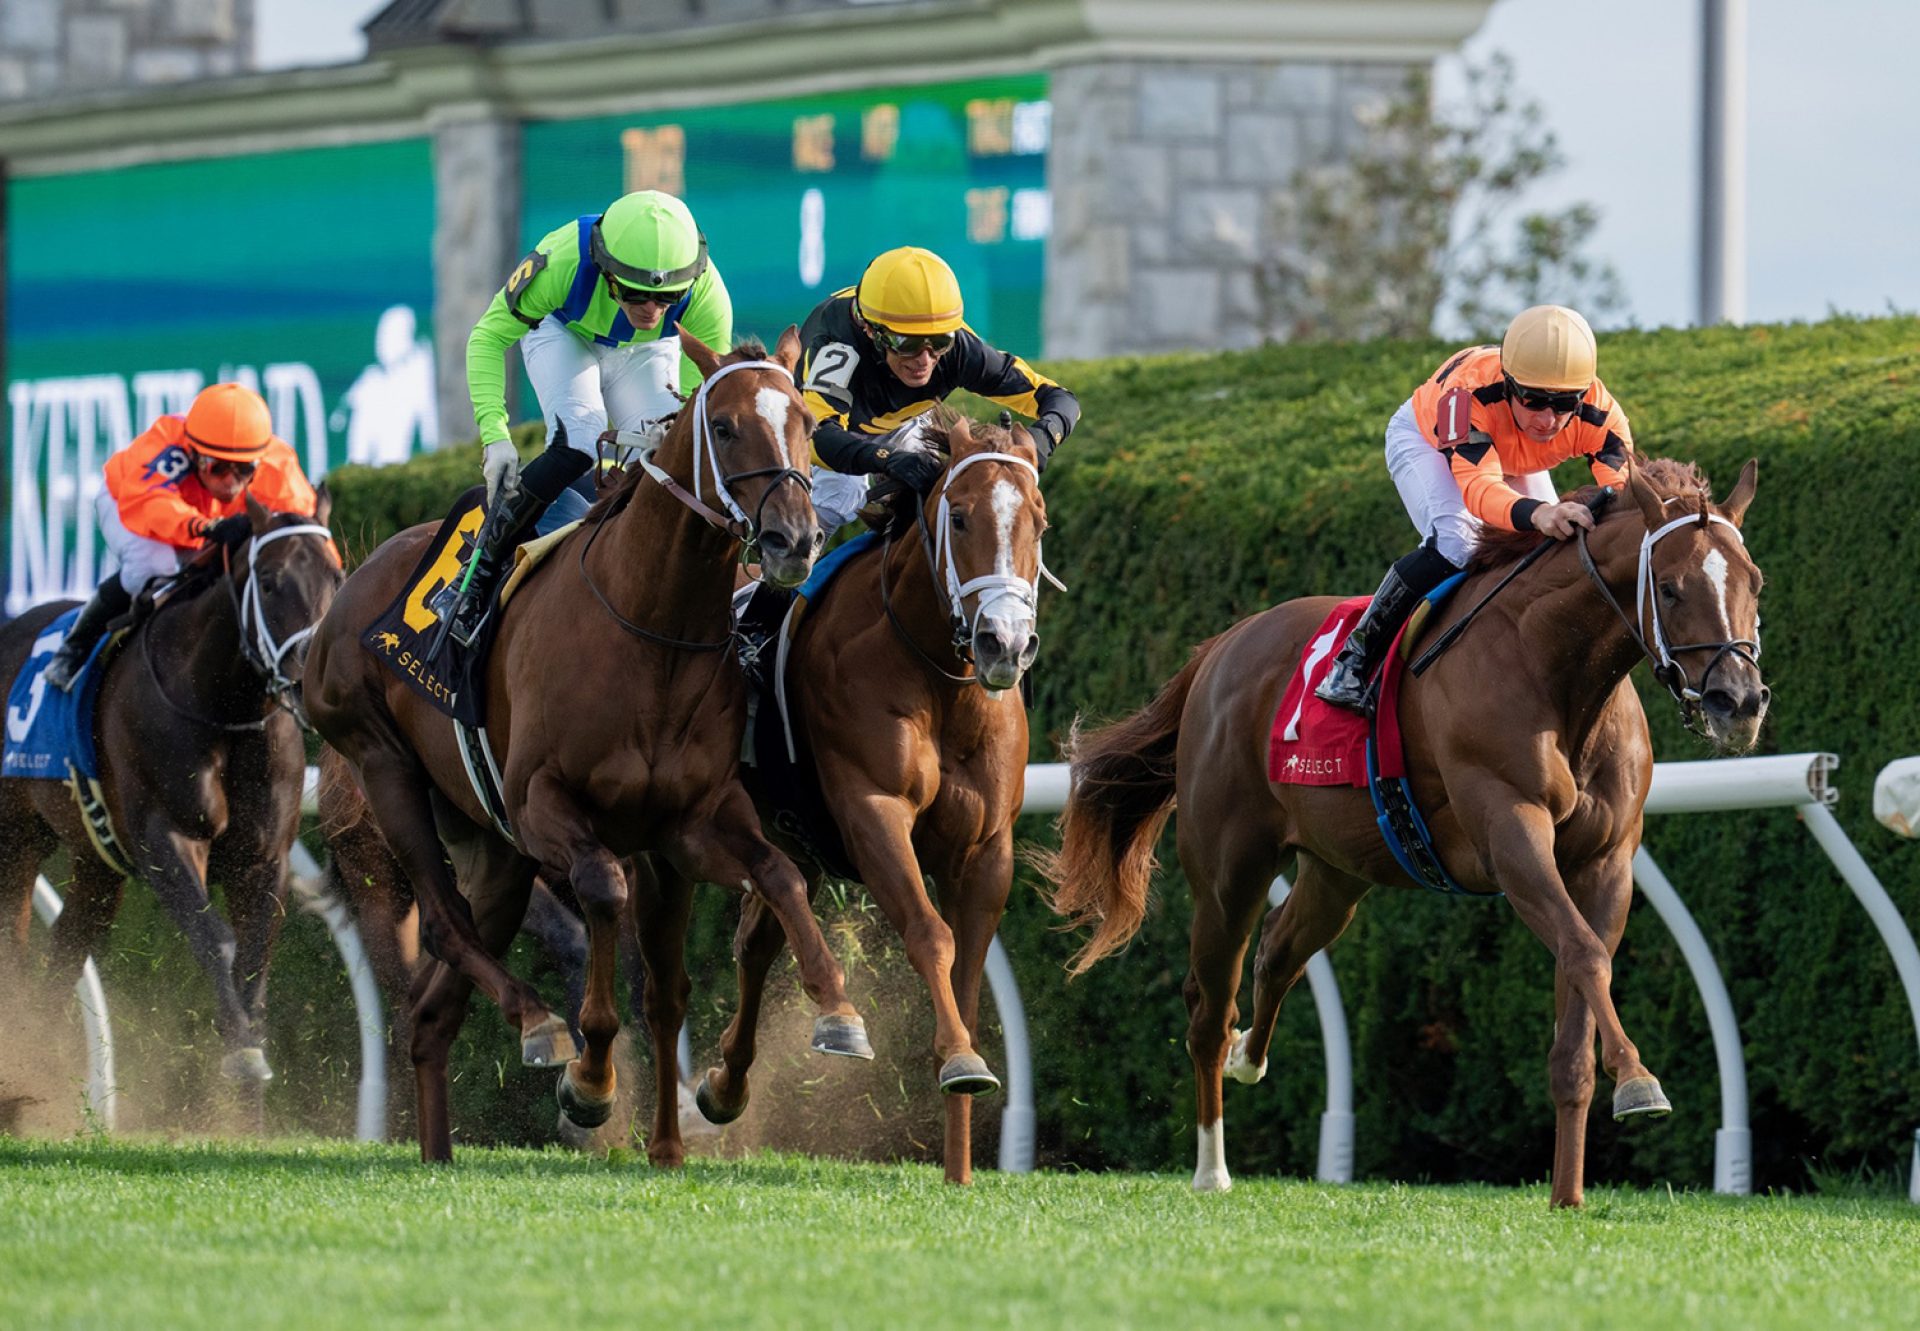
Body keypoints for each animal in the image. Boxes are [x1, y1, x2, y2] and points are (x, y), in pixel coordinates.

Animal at [0, 499, 341, 1090]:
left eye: (336, 576)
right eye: (270, 582)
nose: (308, 681)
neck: (223, 707)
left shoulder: (264, 858)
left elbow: (254, 964)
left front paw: (247, 1075)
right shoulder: (167, 839)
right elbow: (221, 942)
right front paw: (242, 1055)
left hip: (95, 864)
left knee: (62, 954)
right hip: (14, 836)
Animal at [305, 326, 871, 1160]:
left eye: (804, 420)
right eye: (725, 425)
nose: (794, 539)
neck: (649, 629)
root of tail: (355, 579)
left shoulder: (692, 820)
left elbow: (779, 875)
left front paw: (835, 1010)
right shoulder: (547, 807)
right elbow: (605, 891)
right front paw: (591, 1080)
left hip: (493, 848)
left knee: (436, 1003)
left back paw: (440, 1149)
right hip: (385, 766)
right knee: (442, 919)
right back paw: (538, 1022)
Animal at [652, 418, 1052, 1183]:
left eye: (1038, 523)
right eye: (960, 517)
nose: (1004, 644)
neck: (939, 679)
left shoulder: (987, 848)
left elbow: (967, 972)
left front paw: (960, 1155)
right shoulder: (871, 809)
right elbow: (930, 933)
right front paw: (959, 1059)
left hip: (789, 838)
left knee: (756, 942)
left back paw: (725, 1084)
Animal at [1044, 457, 1758, 1206]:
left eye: (1754, 581)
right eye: (1671, 588)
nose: (1739, 701)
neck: (1553, 668)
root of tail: (1218, 650)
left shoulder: (1605, 861)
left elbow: (1576, 1010)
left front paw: (1568, 1193)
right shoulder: (1509, 830)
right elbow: (1587, 954)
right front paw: (1640, 1080)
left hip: (1337, 871)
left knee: (1277, 953)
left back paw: (1249, 1055)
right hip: (1226, 871)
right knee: (1208, 1007)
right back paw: (1213, 1168)